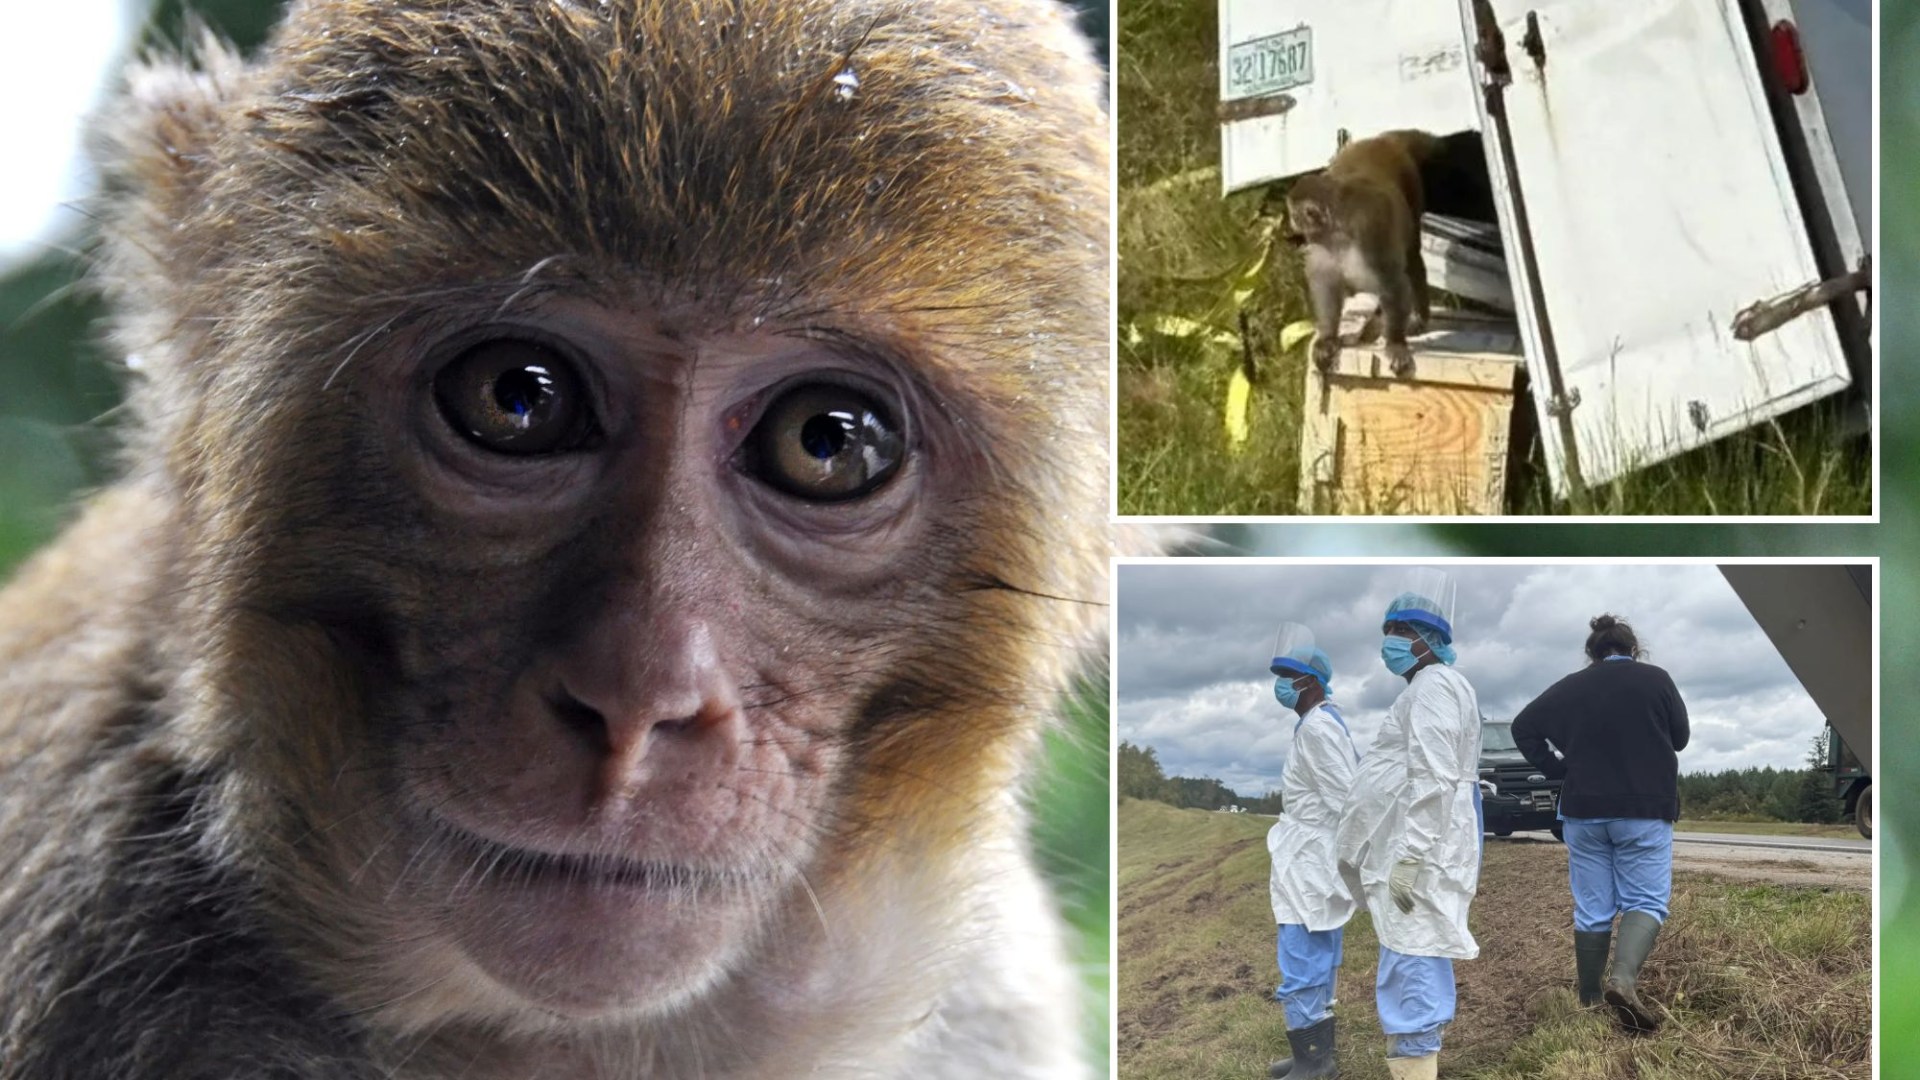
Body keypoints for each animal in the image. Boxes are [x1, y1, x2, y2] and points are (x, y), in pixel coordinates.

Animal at [1283, 130, 1438, 377]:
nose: (1291, 221)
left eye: (1294, 214)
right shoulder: (1320, 244)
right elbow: (1326, 285)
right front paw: (1328, 338)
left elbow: (1393, 284)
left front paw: (1395, 343)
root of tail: (1381, 140)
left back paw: (1418, 316)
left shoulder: (1370, 232)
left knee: (1412, 257)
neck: (1338, 231)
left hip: (1412, 186)